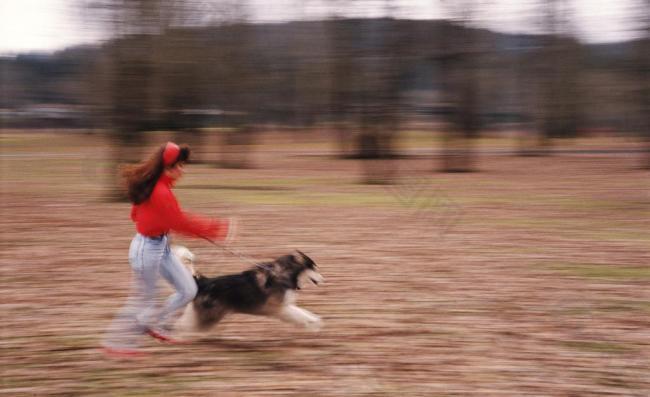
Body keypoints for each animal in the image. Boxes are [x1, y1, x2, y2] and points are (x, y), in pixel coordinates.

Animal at [171, 246, 322, 336]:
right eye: (313, 268)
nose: (324, 279)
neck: (283, 273)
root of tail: (203, 281)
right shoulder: (279, 308)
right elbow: (300, 314)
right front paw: (313, 324)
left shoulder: (284, 306)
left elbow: (304, 313)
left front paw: (315, 322)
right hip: (209, 316)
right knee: (187, 326)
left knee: (182, 323)